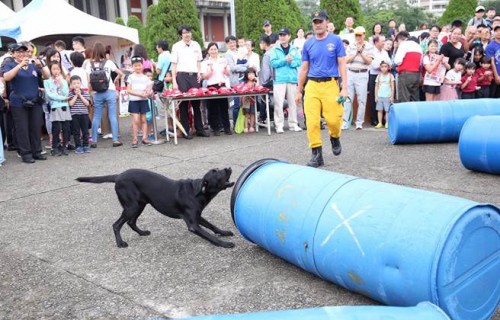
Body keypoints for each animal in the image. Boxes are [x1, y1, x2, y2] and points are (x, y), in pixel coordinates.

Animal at [76, 169, 236, 249]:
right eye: (215, 172)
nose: (228, 168)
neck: (197, 192)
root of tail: (118, 176)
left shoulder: (198, 217)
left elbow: (213, 226)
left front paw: (224, 232)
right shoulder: (193, 225)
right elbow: (210, 236)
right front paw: (225, 244)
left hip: (140, 205)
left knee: (131, 222)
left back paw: (142, 232)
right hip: (132, 207)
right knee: (116, 225)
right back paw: (120, 243)